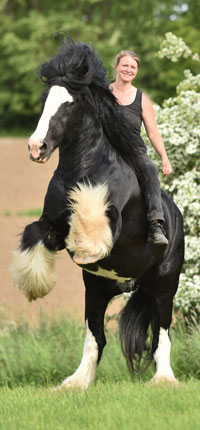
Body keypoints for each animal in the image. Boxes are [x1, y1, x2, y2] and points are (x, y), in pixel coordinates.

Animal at [11, 38, 184, 392]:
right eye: (45, 101)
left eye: (69, 104)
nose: (36, 148)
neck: (81, 167)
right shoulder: (52, 226)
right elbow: (35, 232)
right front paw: (33, 284)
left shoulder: (113, 224)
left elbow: (92, 218)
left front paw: (85, 248)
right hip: (96, 289)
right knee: (96, 338)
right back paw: (74, 383)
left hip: (164, 283)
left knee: (162, 334)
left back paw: (163, 380)